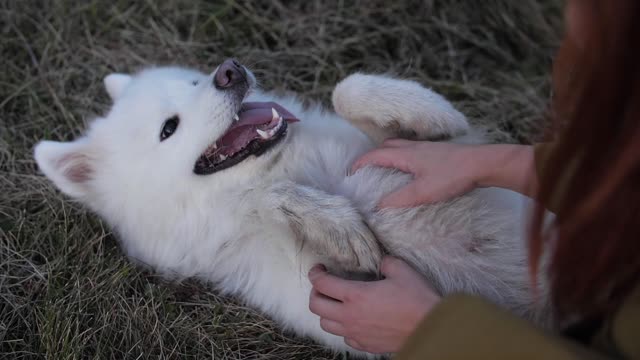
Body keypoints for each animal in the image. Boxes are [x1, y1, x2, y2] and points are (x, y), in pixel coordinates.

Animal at [33, 59, 552, 354]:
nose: (230, 71)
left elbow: (349, 89)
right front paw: (337, 222)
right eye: (169, 128)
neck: (295, 165)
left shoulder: (432, 157)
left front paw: (429, 110)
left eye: (194, 80)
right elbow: (272, 200)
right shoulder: (329, 287)